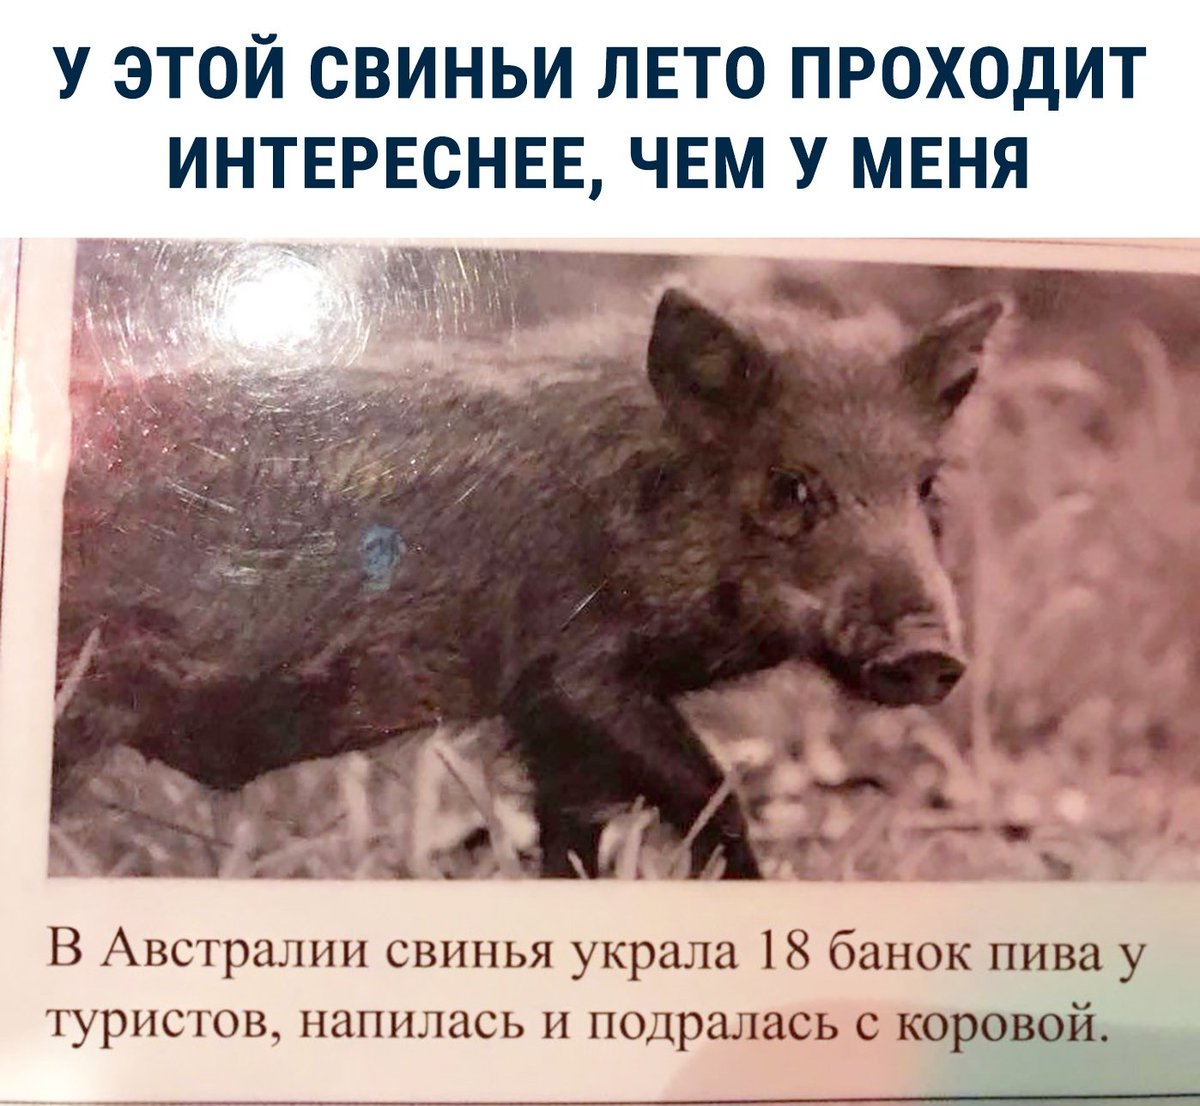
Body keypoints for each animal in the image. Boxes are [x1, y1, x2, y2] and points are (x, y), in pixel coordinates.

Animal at [53, 286, 1005, 879]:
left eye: (926, 487)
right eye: (791, 487)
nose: (931, 655)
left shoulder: (550, 725)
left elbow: (576, 836)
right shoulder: (570, 672)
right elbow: (717, 795)